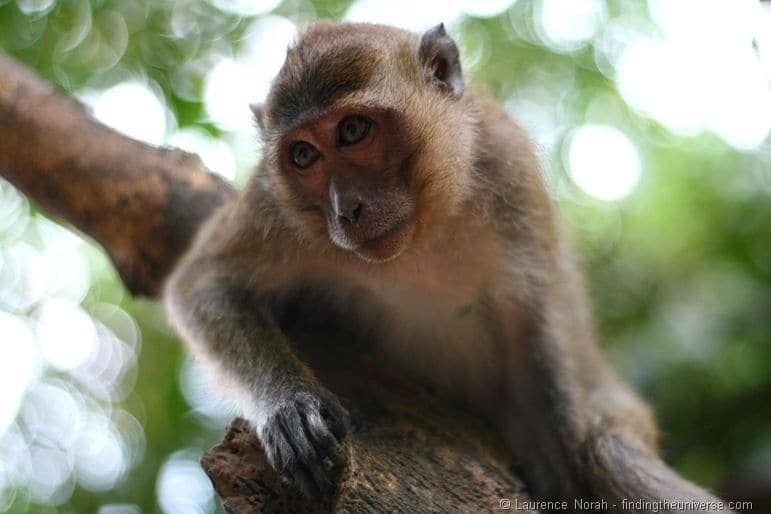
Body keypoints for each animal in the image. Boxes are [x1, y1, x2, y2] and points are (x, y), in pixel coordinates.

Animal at [166, 20, 732, 508]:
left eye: (353, 130)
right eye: (303, 155)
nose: (346, 209)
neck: (423, 231)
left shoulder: (508, 171)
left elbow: (532, 333)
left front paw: (563, 472)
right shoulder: (275, 206)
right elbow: (204, 283)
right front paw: (287, 406)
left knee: (607, 447)